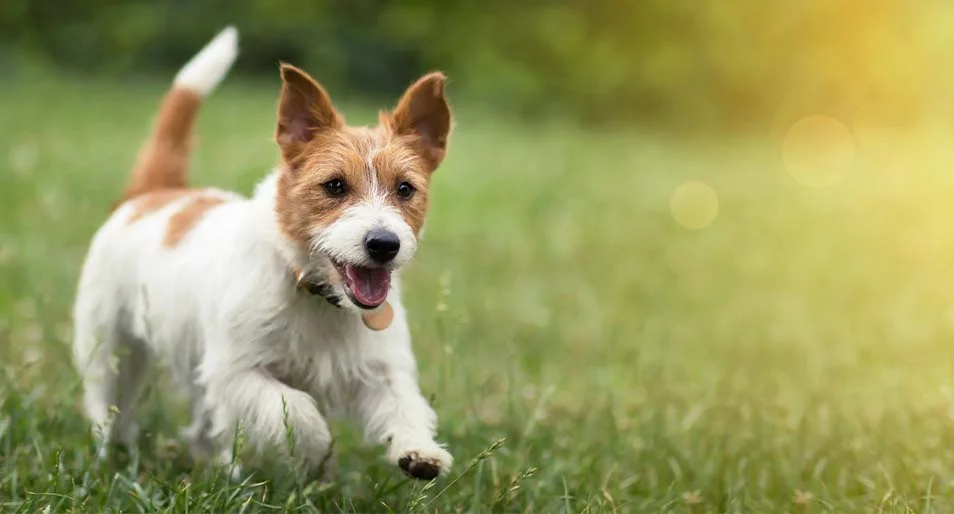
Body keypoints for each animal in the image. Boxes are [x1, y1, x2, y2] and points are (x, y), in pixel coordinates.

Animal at [72, 26, 452, 478]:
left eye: (405, 189)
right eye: (335, 186)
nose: (383, 244)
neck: (310, 288)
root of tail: (154, 192)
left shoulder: (378, 368)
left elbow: (404, 403)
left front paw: (419, 450)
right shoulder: (237, 371)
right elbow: (298, 409)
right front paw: (315, 453)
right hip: (111, 342)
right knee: (108, 397)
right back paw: (111, 450)